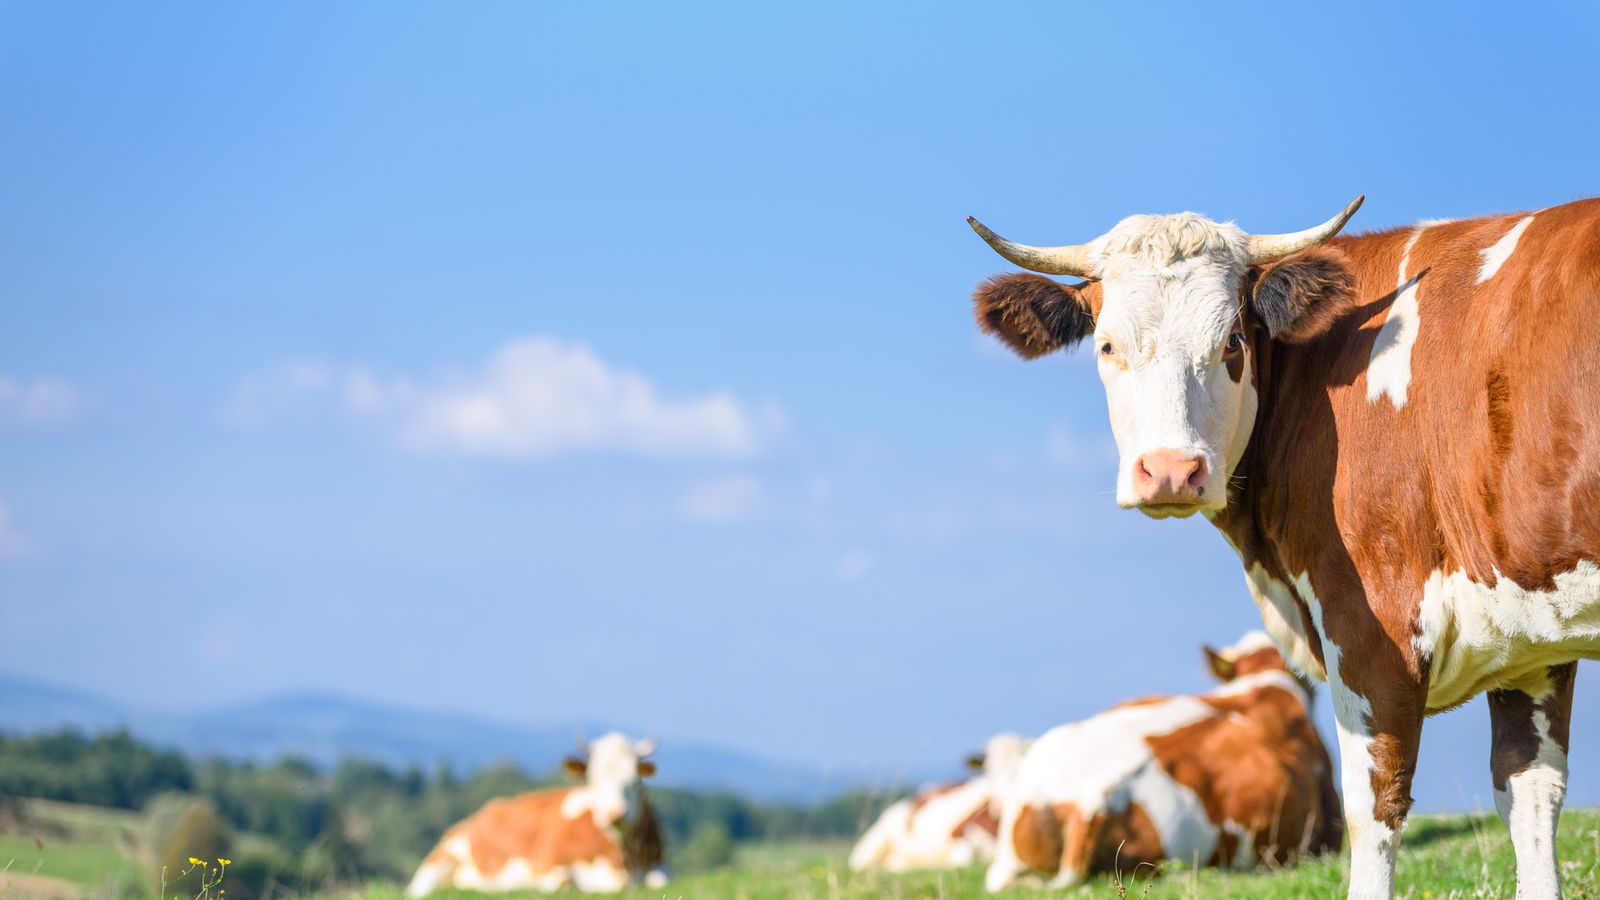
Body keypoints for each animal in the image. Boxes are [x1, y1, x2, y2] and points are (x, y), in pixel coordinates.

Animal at [412, 730, 668, 890]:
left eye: (634, 780)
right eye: (592, 779)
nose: (615, 814)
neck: (621, 857)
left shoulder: (657, 864)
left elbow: (659, 881)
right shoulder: (548, 866)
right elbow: (562, 884)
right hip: (437, 864)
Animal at [844, 730, 1030, 871]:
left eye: (1021, 766)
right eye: (988, 769)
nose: (999, 806)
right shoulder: (958, 837)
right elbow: (965, 859)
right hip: (871, 846)